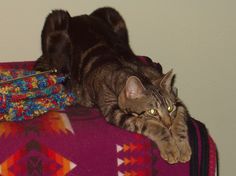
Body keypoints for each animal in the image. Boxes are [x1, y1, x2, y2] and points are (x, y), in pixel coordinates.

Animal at [33, 6, 192, 164]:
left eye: (170, 108)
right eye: (152, 112)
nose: (168, 123)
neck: (129, 68)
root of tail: (79, 16)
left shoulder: (178, 102)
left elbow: (180, 123)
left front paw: (182, 147)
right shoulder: (114, 112)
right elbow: (153, 126)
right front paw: (170, 148)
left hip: (112, 13)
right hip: (56, 19)